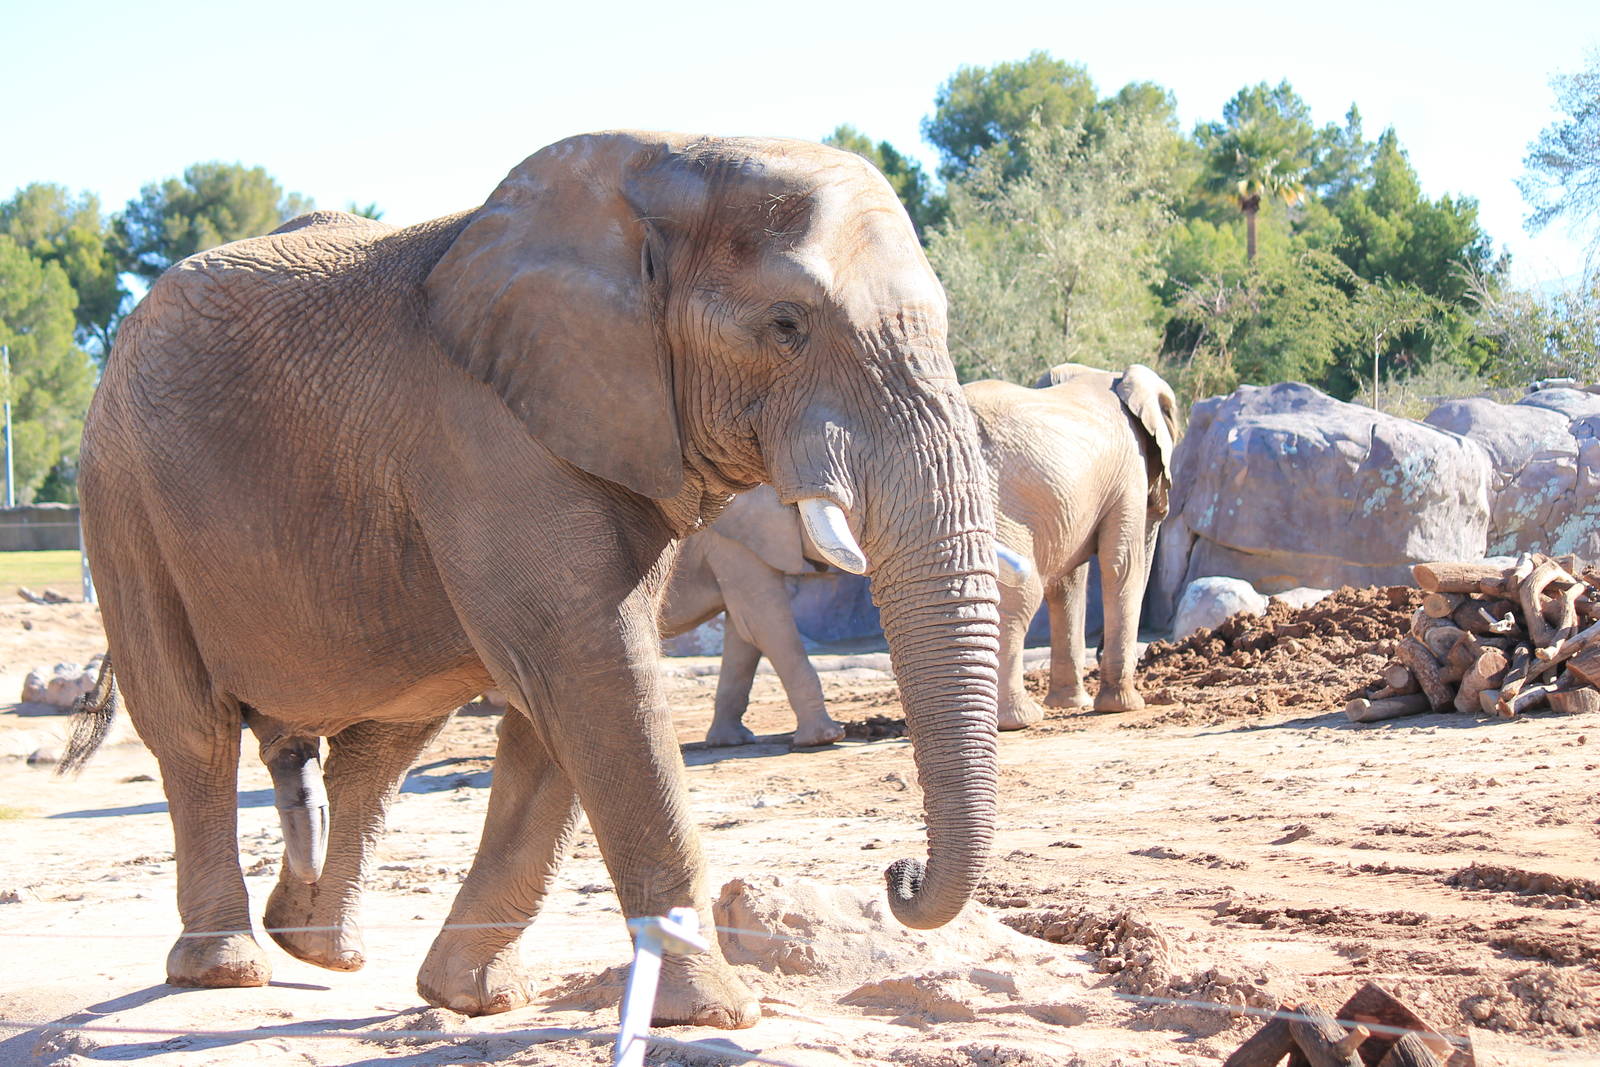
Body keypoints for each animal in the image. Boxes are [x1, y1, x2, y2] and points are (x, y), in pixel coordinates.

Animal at [964, 363, 1178, 729]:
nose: (1099, 649)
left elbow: (1067, 583)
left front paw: (1072, 704)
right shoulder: (1128, 471)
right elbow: (1122, 565)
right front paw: (1124, 706)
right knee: (1019, 595)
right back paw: (1018, 719)